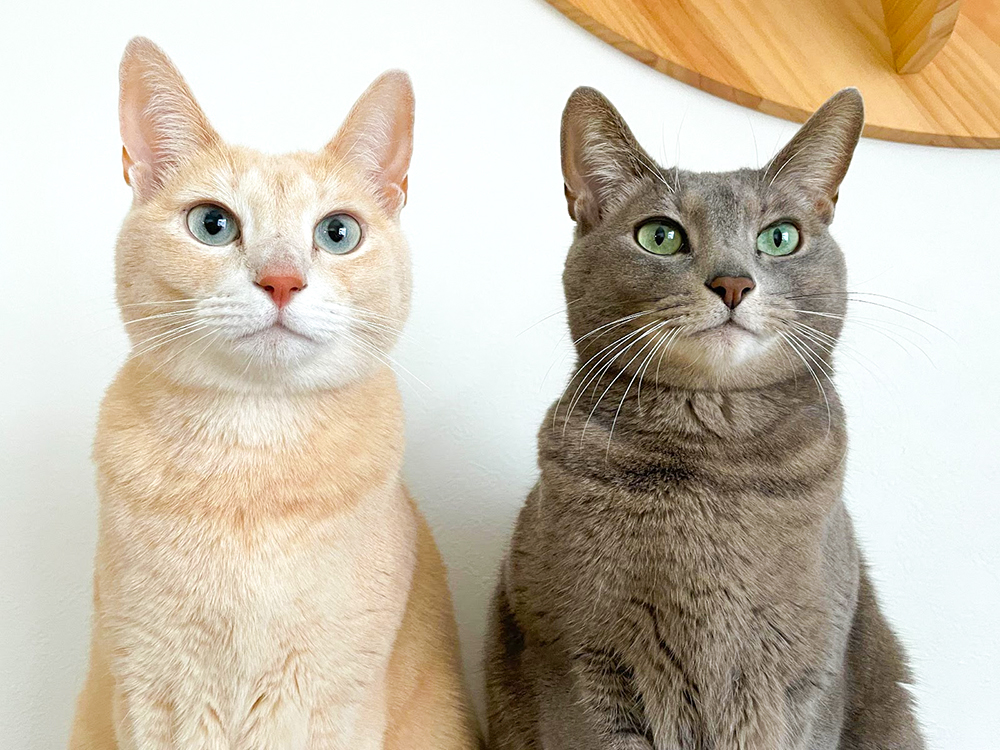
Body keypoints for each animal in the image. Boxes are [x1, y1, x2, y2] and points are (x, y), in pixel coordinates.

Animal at [68, 37, 480, 750]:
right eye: (212, 224)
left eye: (338, 233)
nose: (283, 281)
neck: (251, 455)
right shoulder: (150, 690)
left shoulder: (327, 699)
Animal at [484, 87, 925, 750]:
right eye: (660, 236)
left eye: (780, 238)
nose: (734, 282)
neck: (712, 468)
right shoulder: (578, 667)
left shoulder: (810, 682)